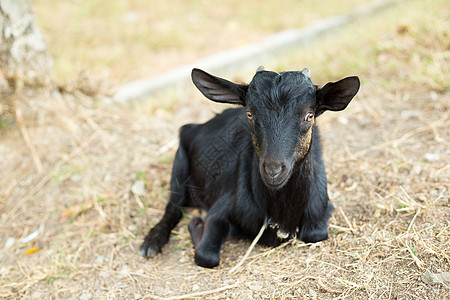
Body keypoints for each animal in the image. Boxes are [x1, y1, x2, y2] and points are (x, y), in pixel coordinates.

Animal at [139, 67, 360, 268]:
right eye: (250, 114)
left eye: (309, 116)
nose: (273, 170)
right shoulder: (221, 207)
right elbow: (206, 256)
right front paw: (196, 224)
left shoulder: (321, 209)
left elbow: (316, 234)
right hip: (179, 165)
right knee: (173, 206)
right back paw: (152, 242)